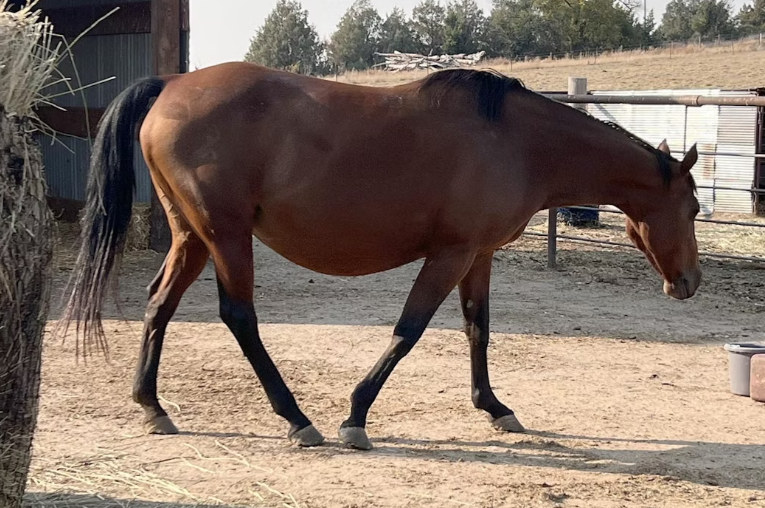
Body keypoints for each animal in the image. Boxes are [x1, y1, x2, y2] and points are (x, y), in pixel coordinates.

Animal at [59, 62, 700, 448]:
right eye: (694, 208)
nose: (691, 281)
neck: (516, 142)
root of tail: (169, 84)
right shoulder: (450, 254)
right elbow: (408, 330)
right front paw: (355, 416)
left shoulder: (478, 255)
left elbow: (479, 329)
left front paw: (494, 407)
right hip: (226, 235)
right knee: (238, 317)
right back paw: (297, 419)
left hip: (193, 236)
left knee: (159, 305)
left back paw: (152, 407)